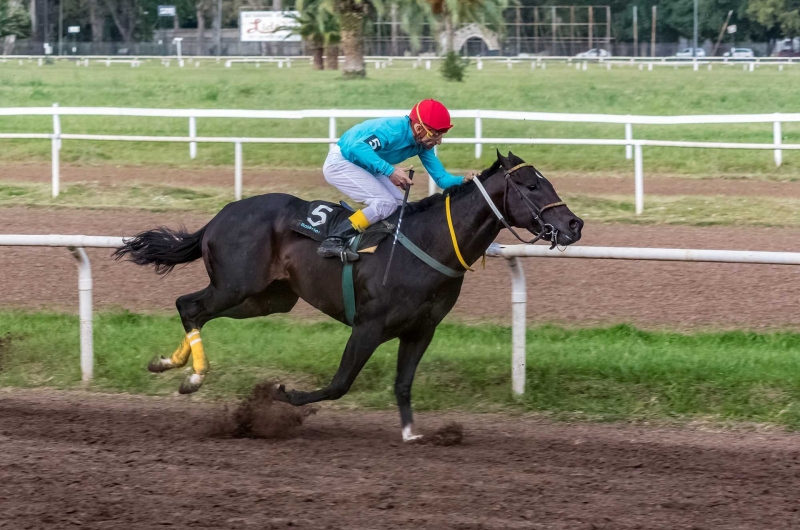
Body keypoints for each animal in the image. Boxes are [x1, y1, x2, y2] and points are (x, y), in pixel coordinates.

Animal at [115, 151, 584, 440]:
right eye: (532, 186)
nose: (574, 225)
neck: (428, 242)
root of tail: (219, 216)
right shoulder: (369, 326)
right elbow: (340, 384)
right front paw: (284, 396)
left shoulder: (421, 329)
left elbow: (403, 384)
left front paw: (413, 433)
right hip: (235, 286)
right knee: (189, 305)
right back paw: (193, 375)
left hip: (266, 299)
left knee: (194, 309)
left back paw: (170, 364)